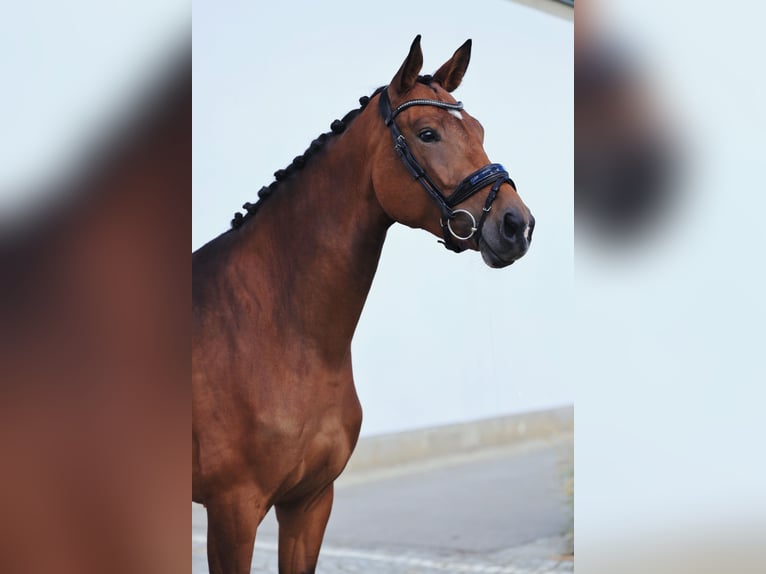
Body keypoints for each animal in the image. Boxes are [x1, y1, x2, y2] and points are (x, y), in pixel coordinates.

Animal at [192, 36, 534, 574]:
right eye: (428, 133)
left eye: (478, 129)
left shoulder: (310, 503)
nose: (517, 225)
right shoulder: (232, 513)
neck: (282, 333)